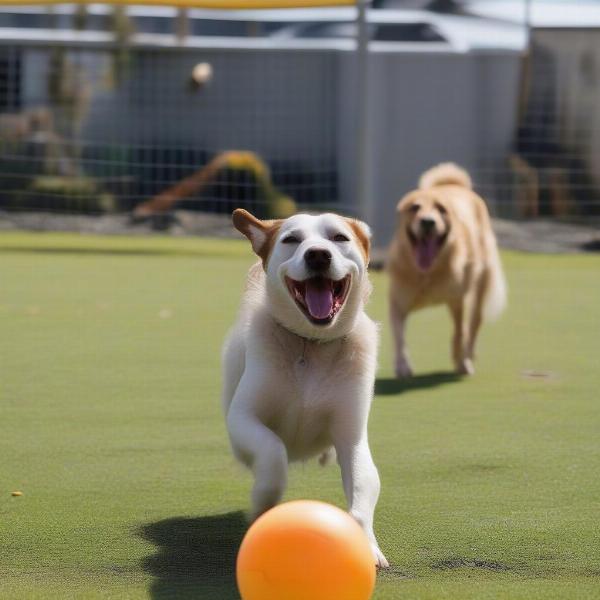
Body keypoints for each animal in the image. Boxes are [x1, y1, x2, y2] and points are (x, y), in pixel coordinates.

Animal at [221, 210, 390, 568]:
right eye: (291, 239)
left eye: (339, 237)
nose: (318, 255)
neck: (311, 345)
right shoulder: (243, 417)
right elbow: (272, 451)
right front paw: (263, 502)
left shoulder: (352, 436)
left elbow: (363, 486)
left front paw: (366, 545)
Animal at [384, 162, 506, 372]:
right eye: (415, 207)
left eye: (441, 209)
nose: (427, 222)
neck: (428, 273)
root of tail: (455, 185)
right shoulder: (398, 303)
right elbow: (400, 338)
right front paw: (402, 365)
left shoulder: (458, 300)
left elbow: (460, 332)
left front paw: (462, 361)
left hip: (481, 283)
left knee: (475, 323)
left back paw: (469, 353)